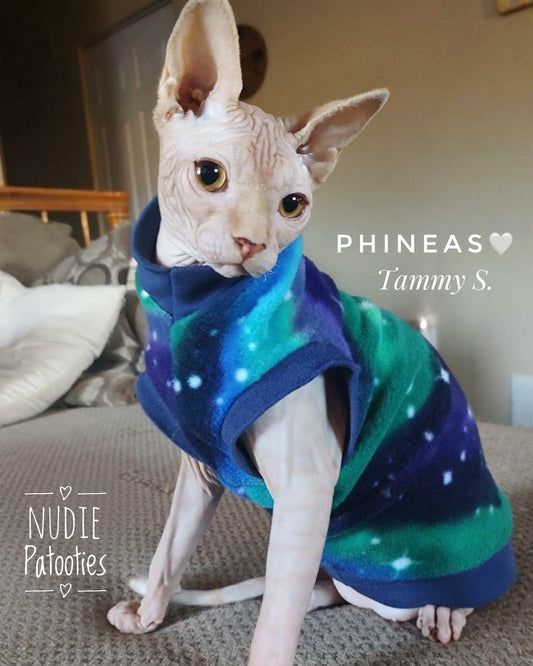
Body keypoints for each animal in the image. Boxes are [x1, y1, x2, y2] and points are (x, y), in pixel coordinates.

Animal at [107, 1, 516, 663]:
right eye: (209, 175)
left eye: (293, 206)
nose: (253, 245)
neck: (190, 304)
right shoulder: (200, 469)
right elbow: (169, 552)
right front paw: (149, 617)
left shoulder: (306, 488)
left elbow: (274, 625)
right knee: (319, 590)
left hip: (386, 561)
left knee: (366, 597)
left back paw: (444, 607)